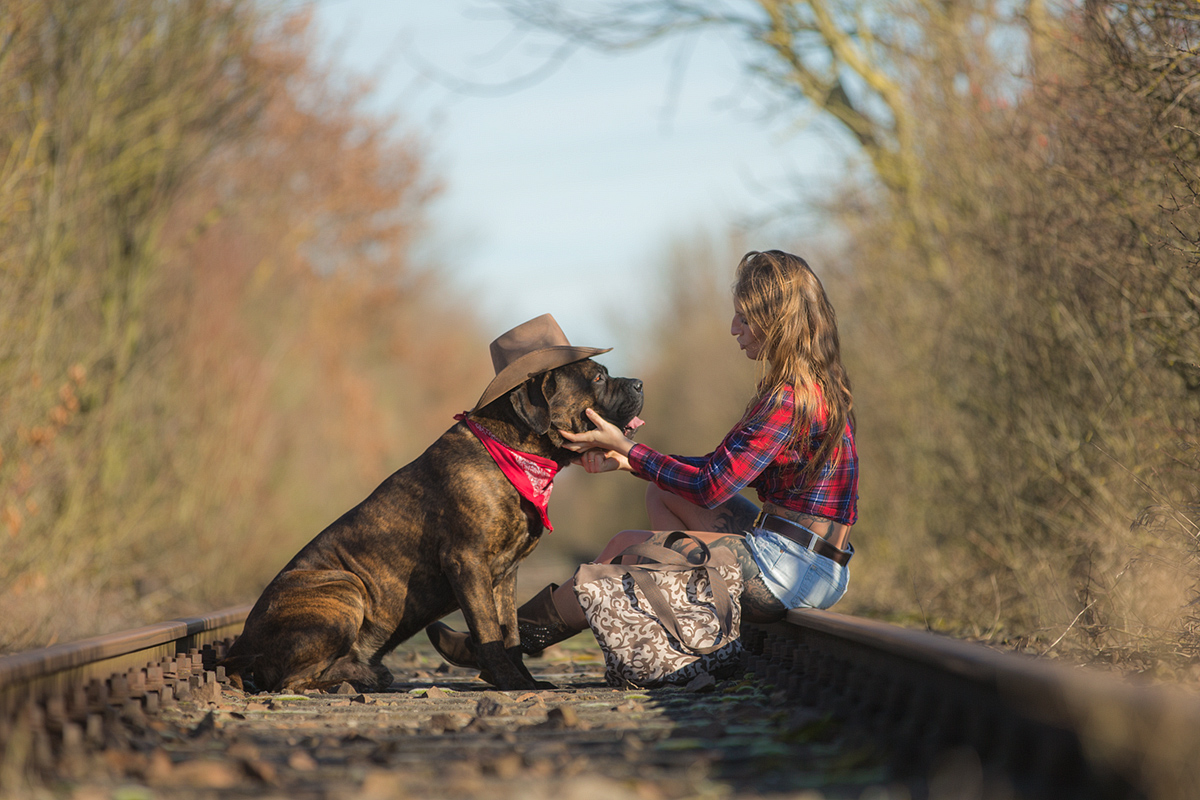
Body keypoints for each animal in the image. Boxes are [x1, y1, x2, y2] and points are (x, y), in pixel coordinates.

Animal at [219, 362, 643, 695]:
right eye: (599, 377)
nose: (639, 383)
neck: (514, 453)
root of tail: (241, 648)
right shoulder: (467, 561)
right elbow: (488, 630)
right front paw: (508, 681)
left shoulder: (506, 574)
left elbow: (509, 632)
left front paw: (523, 679)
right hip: (346, 585)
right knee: (291, 681)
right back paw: (355, 679)